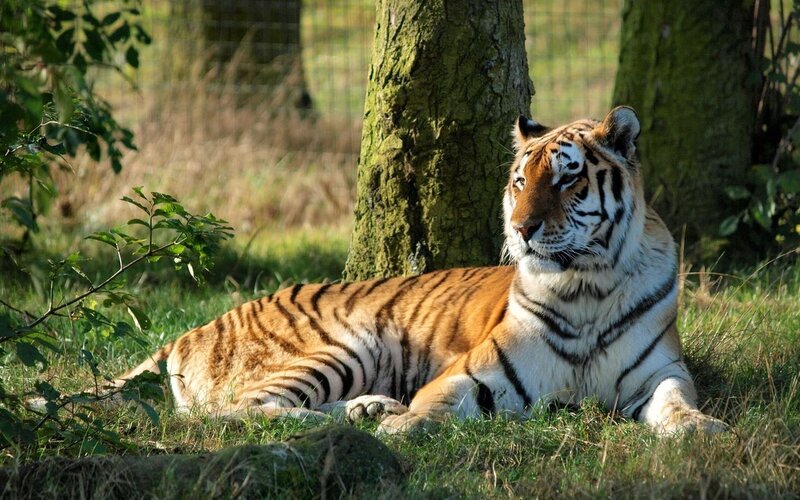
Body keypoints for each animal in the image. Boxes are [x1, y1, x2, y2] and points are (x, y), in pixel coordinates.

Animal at [110, 106, 725, 435]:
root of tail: (196, 328)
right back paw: (362, 418)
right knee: (239, 413)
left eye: (567, 178)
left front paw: (702, 429)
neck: (586, 286)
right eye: (521, 181)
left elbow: (678, 402)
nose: (521, 229)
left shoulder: (660, 372)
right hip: (345, 344)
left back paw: (370, 407)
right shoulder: (472, 373)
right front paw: (401, 427)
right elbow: (434, 406)